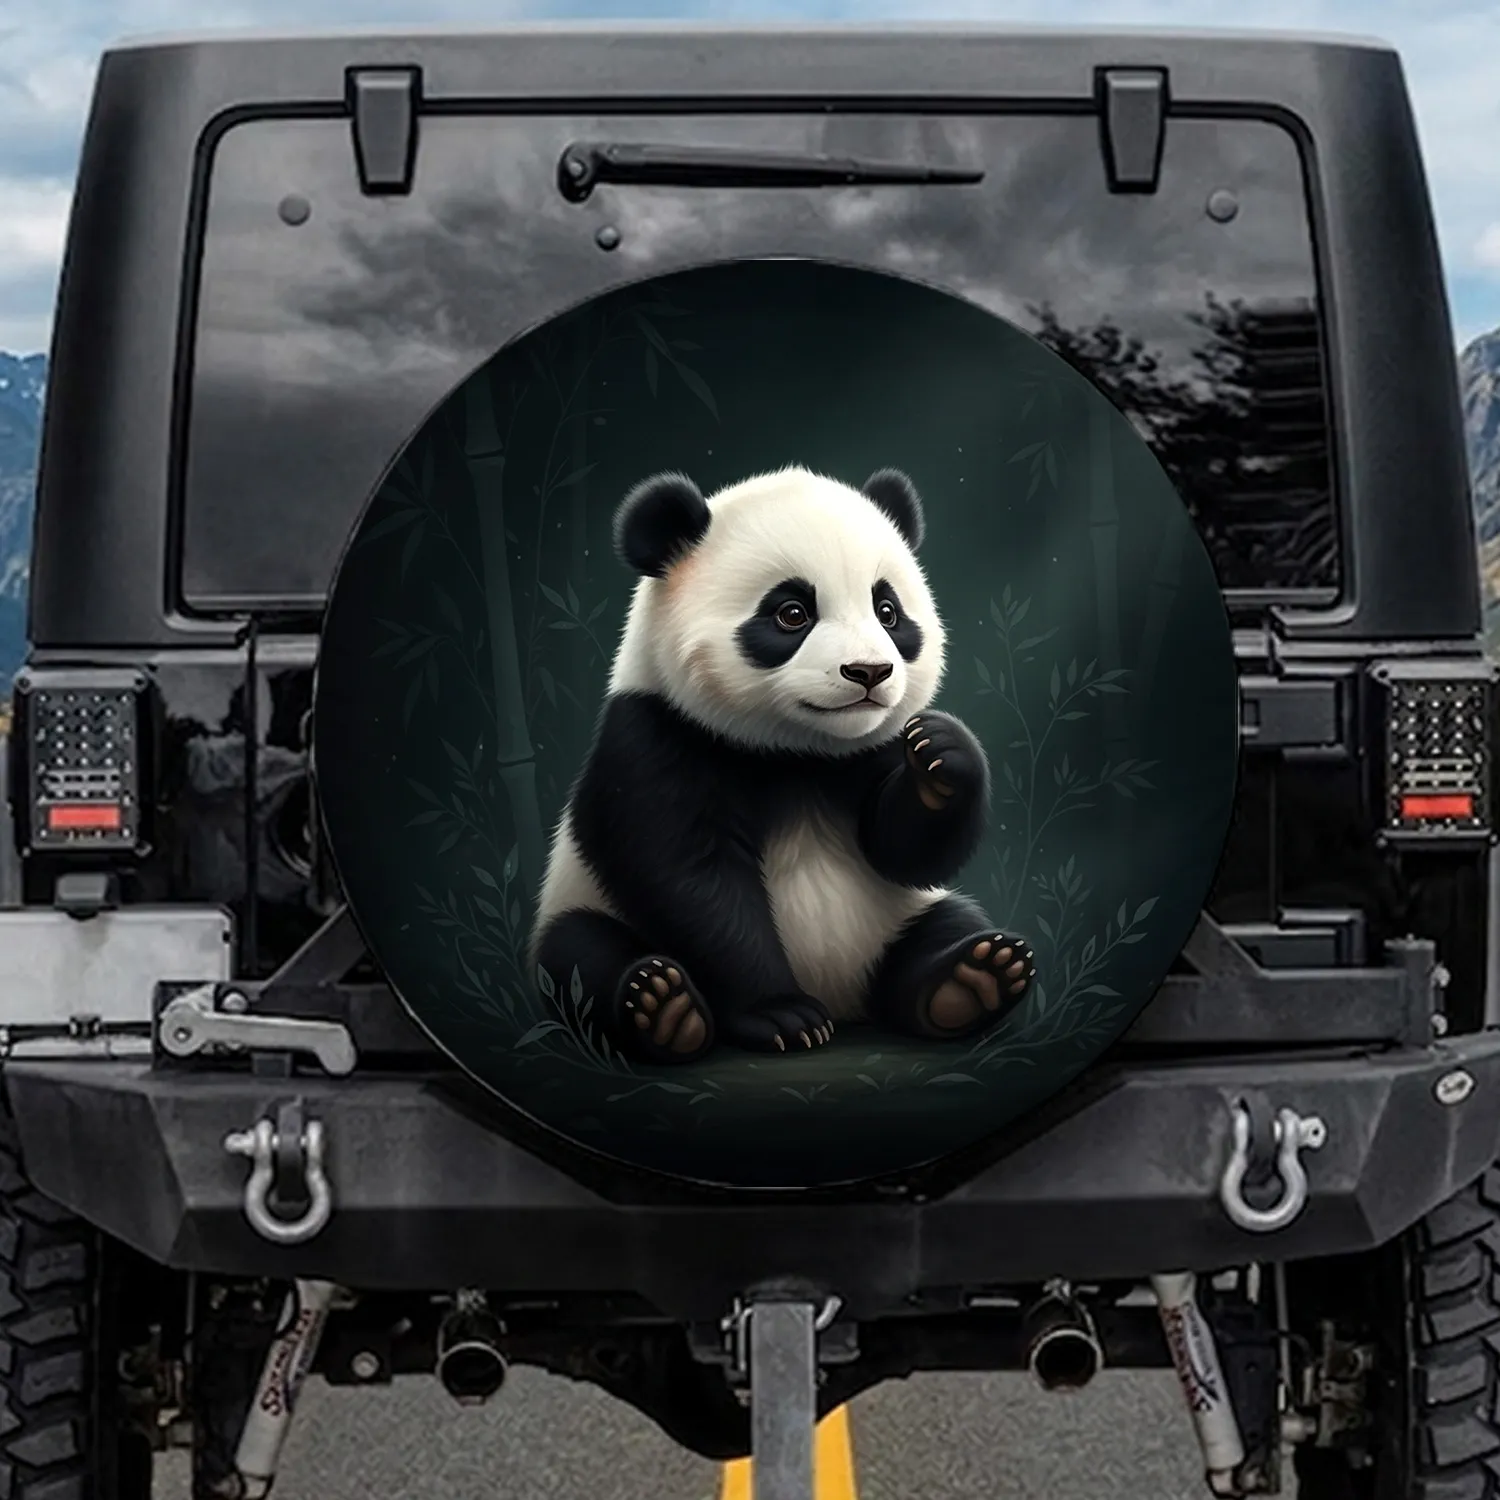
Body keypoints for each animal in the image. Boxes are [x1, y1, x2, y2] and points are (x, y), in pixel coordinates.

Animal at [528, 464, 1036, 1065]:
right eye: (792, 613)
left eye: (887, 611)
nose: (870, 672)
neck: (797, 752)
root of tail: (845, 1000)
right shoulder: (657, 739)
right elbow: (690, 877)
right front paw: (782, 1015)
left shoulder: (868, 750)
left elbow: (903, 853)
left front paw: (942, 753)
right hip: (581, 904)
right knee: (578, 955)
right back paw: (664, 1010)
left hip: (897, 919)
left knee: (948, 922)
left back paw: (972, 980)